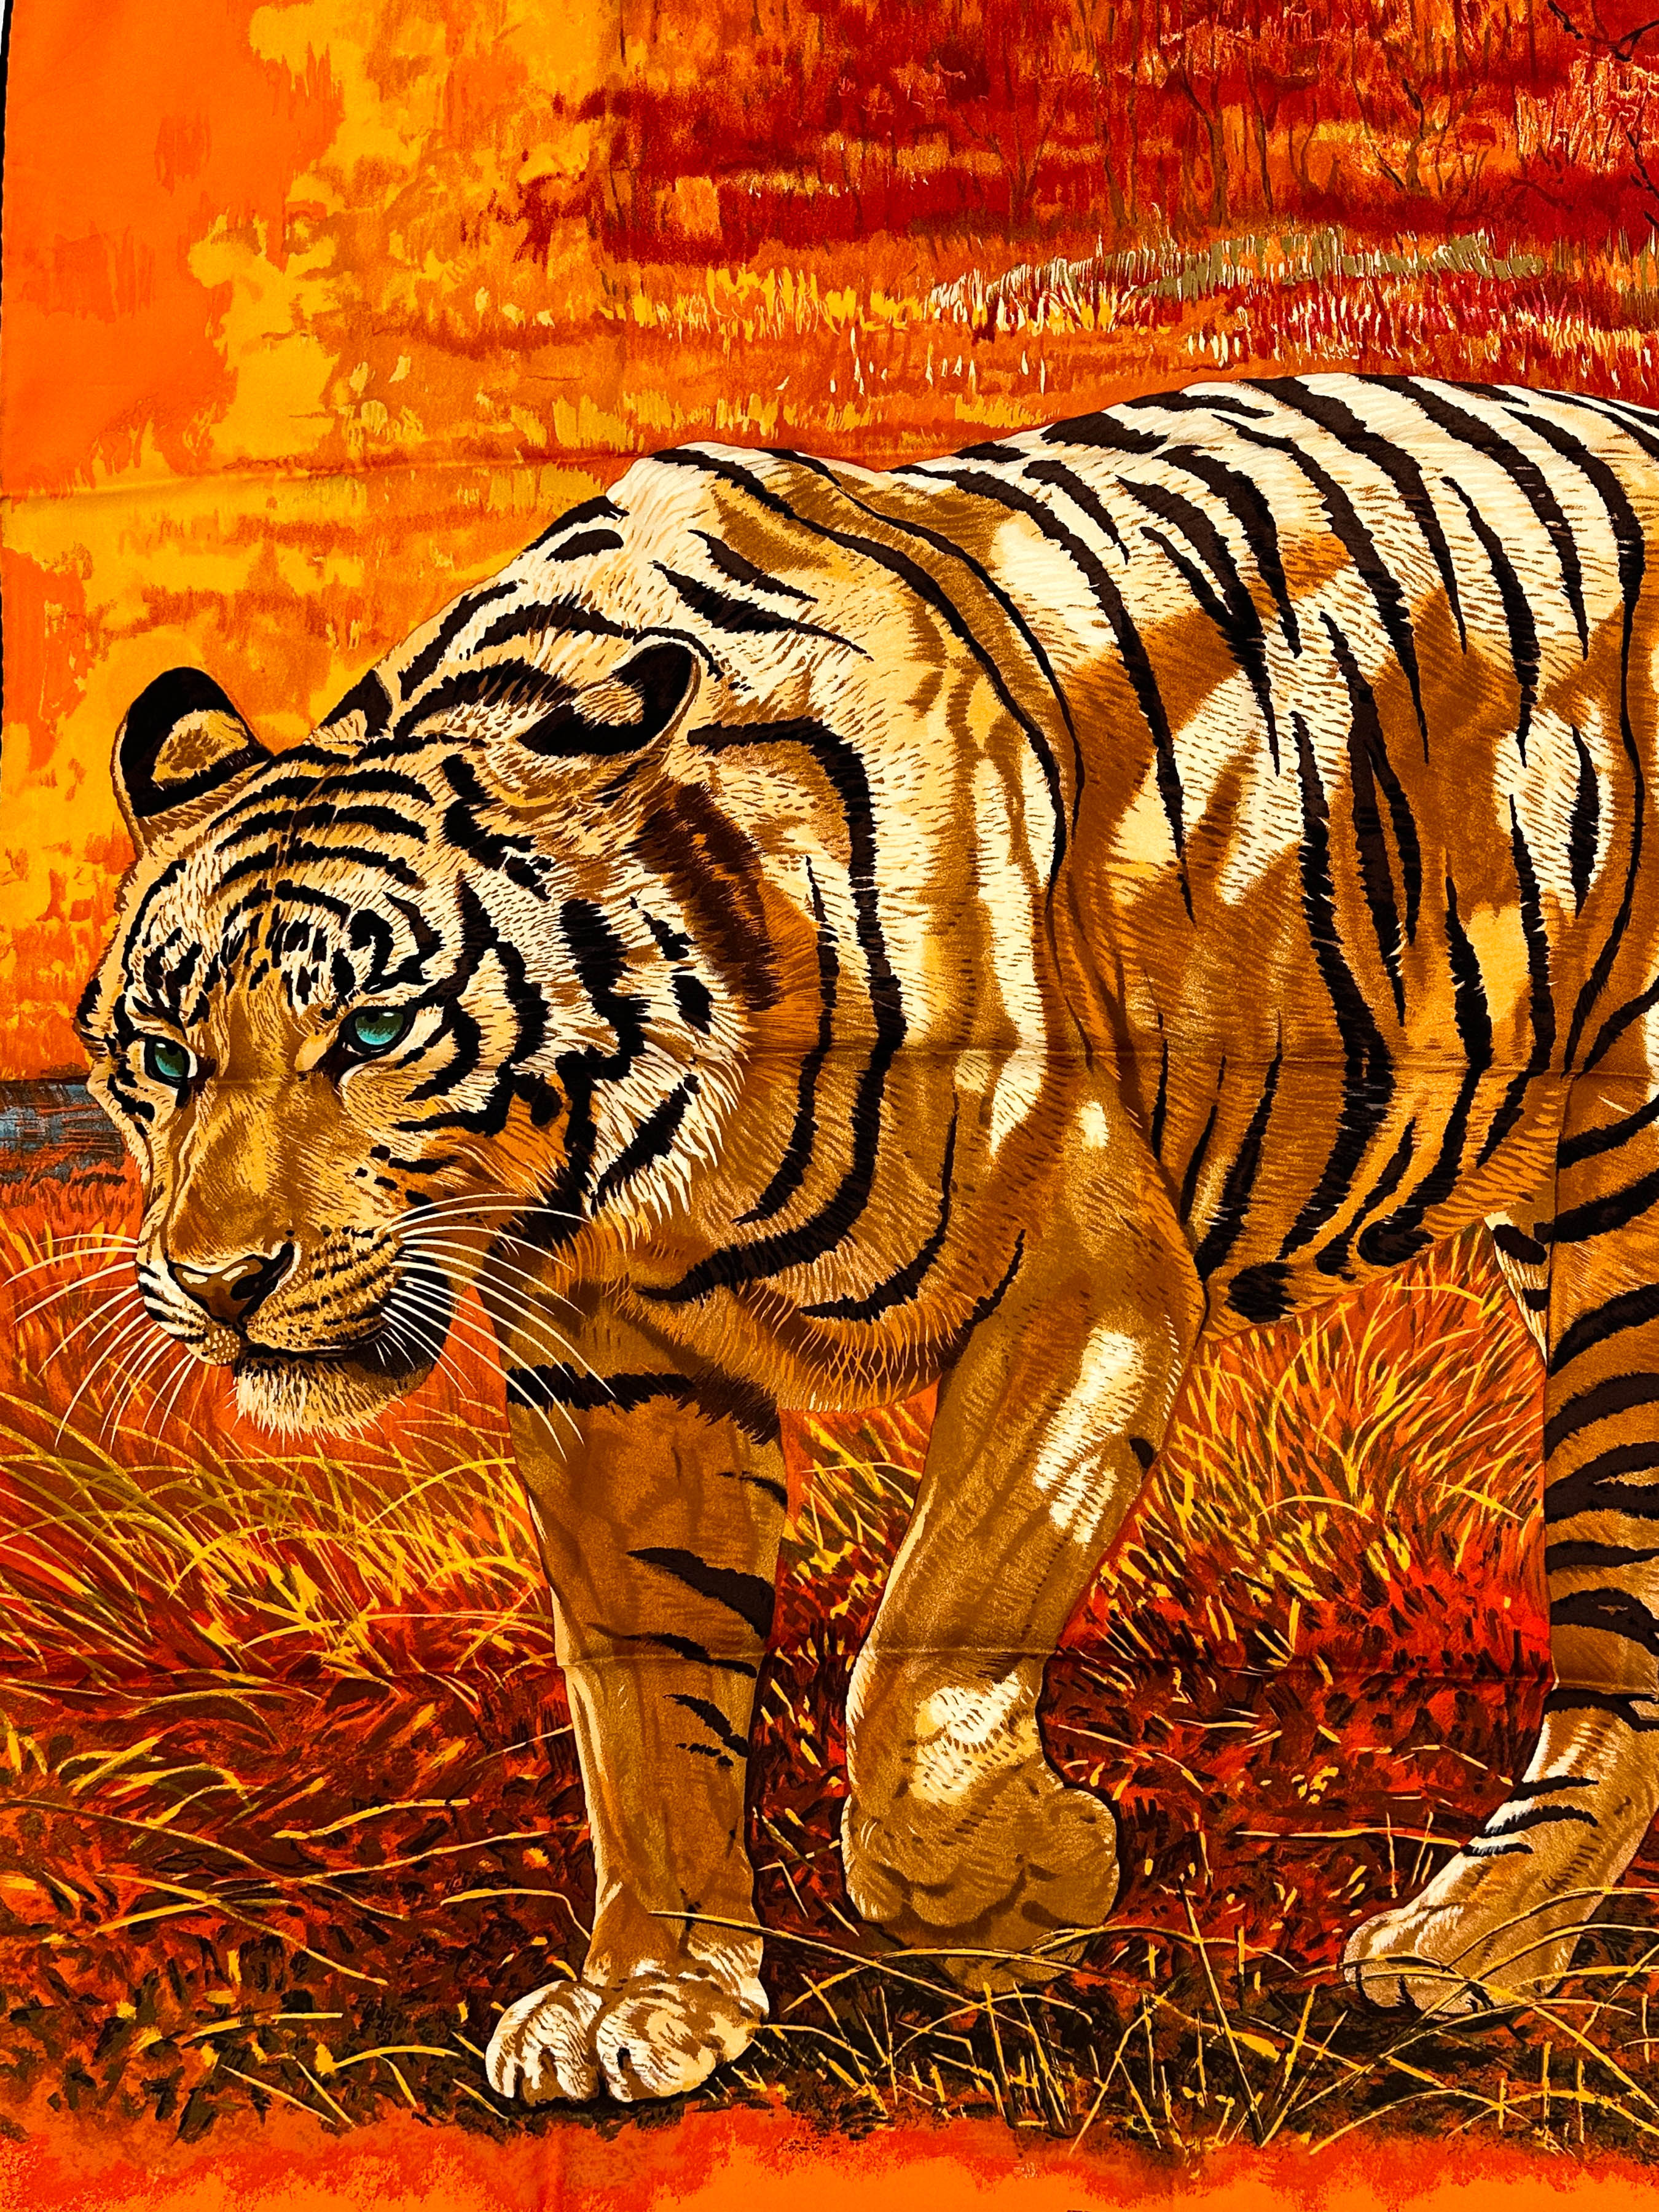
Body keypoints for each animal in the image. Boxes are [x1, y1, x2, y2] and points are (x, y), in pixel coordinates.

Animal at [75, 371, 1659, 2103]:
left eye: (369, 1030)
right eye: (158, 1053)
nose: (218, 1283)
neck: (643, 1150)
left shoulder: (1085, 1278)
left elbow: (926, 1651)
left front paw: (1030, 1879)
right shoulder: (619, 1375)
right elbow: (647, 1708)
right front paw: (652, 1997)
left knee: (1619, 1633)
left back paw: (1468, 1946)